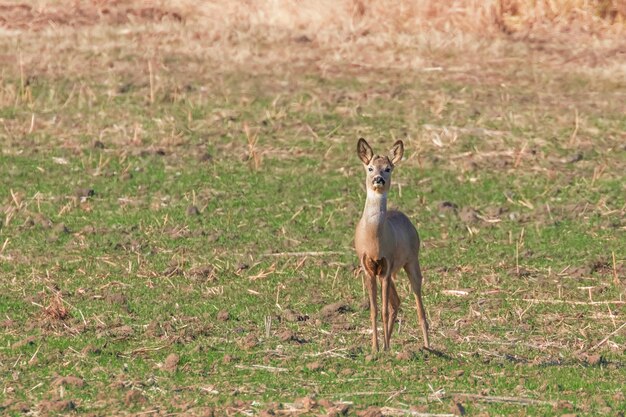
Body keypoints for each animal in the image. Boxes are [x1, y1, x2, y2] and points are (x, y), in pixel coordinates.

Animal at [354, 137, 426, 352]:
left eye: (388, 168)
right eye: (370, 168)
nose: (378, 179)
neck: (374, 240)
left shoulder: (386, 265)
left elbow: (384, 310)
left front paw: (382, 347)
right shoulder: (368, 268)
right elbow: (375, 310)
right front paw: (375, 349)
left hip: (411, 261)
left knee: (419, 306)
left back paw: (427, 346)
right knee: (397, 302)